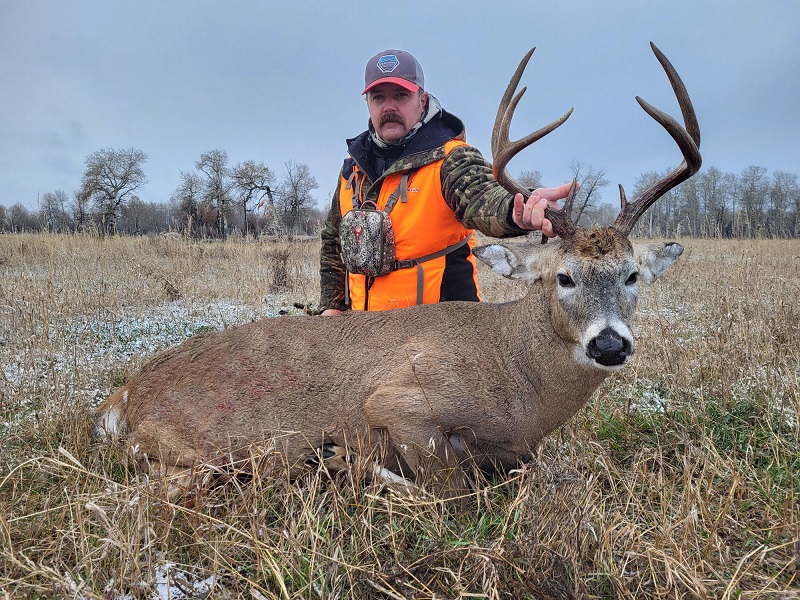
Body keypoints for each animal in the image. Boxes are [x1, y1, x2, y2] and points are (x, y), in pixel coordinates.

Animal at [95, 42, 701, 499]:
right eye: (564, 276)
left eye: (632, 275)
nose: (610, 344)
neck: (520, 385)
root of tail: (124, 397)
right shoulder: (400, 401)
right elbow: (449, 491)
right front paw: (349, 462)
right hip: (206, 445)